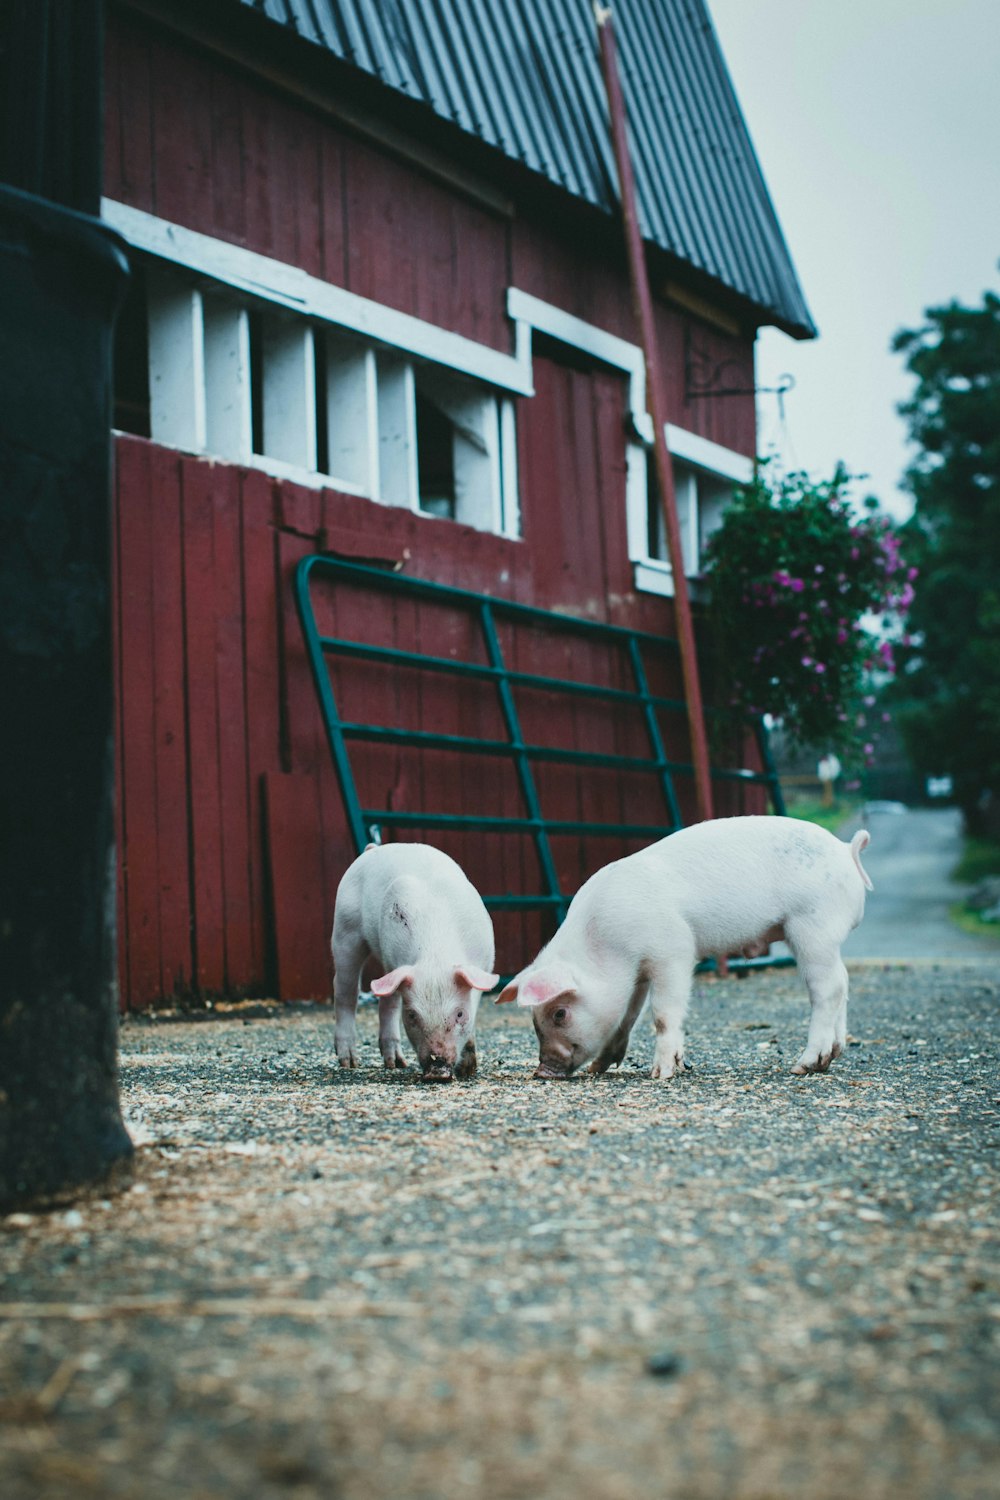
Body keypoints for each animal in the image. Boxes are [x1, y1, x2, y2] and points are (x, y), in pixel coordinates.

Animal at [329, 846, 497, 1080]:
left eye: (460, 1014)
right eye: (411, 1016)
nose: (437, 1070)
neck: (436, 953)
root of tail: (373, 849)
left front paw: (468, 1069)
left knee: (386, 1001)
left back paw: (397, 1064)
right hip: (345, 928)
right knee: (346, 991)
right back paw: (350, 1062)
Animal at [497, 816, 869, 1086]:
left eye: (560, 1013)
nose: (541, 1071)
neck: (606, 945)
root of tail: (846, 851)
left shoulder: (672, 950)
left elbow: (663, 1012)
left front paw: (661, 1074)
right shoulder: (637, 974)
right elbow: (627, 1018)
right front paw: (598, 1068)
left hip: (811, 927)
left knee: (828, 988)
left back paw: (804, 1066)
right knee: (844, 982)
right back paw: (831, 1057)